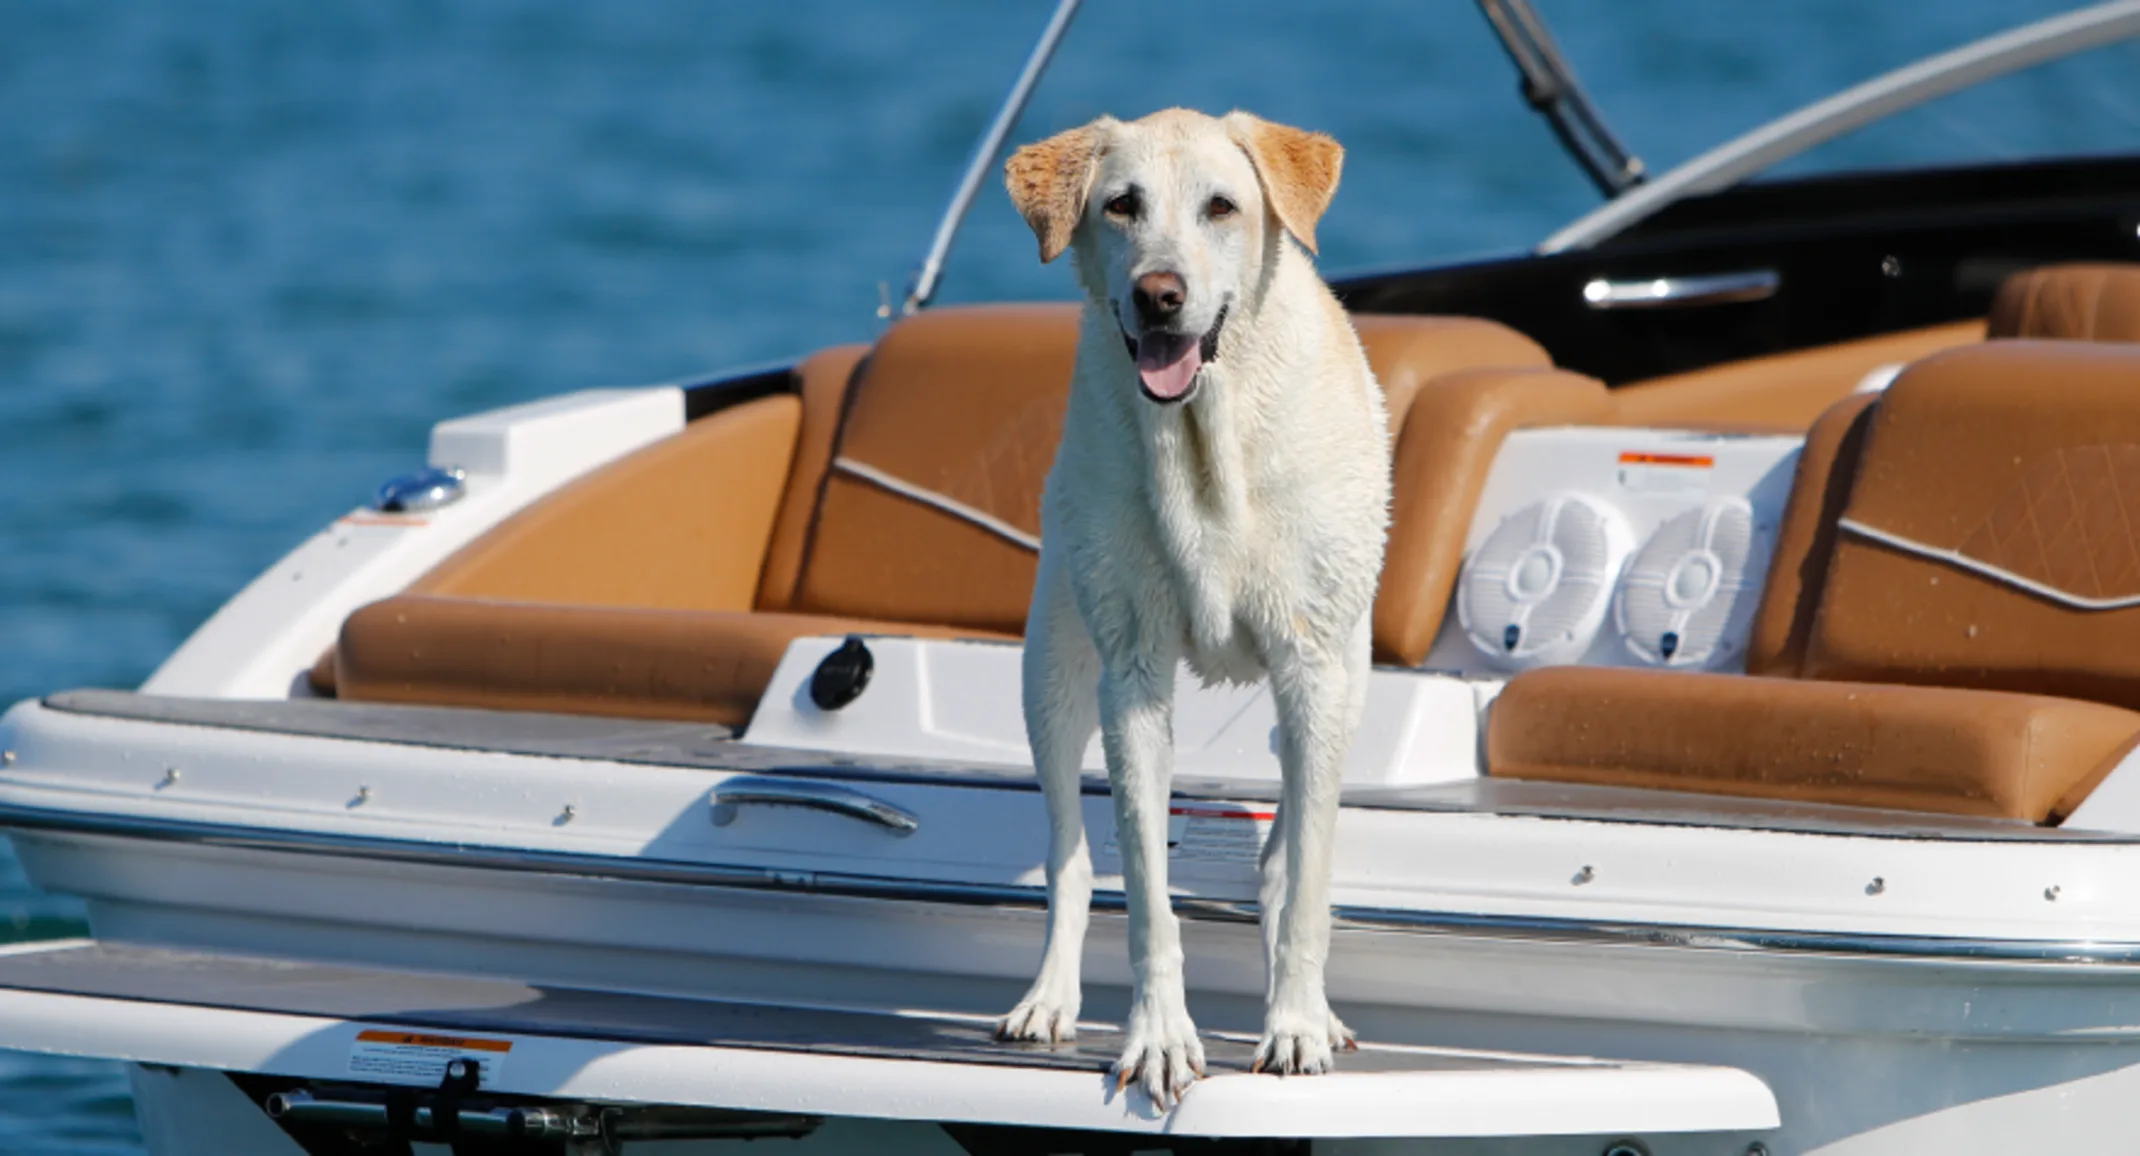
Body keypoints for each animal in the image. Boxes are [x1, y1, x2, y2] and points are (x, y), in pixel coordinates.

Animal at [997, 110, 1395, 1113]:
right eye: (1120, 205)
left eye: (1222, 206)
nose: (1159, 296)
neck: (1206, 434)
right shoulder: (1132, 679)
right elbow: (1145, 888)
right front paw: (1160, 1038)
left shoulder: (1314, 669)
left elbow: (1307, 886)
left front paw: (1296, 1029)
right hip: (1050, 672)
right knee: (1067, 854)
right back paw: (1047, 1000)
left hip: (1349, 682)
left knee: (1287, 857)